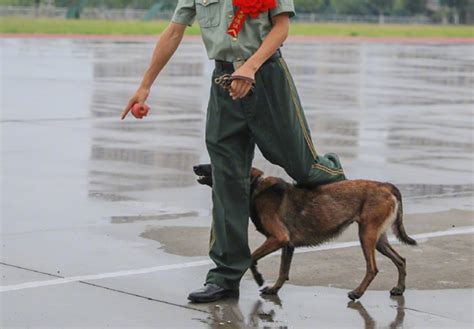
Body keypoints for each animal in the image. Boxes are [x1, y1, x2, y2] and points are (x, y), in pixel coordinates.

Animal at [193, 163, 414, 298]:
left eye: (212, 165)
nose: (195, 166)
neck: (255, 186)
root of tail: (386, 186)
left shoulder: (278, 238)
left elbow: (251, 257)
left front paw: (258, 277)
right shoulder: (287, 244)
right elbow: (283, 271)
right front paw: (273, 289)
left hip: (366, 235)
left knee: (372, 268)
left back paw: (357, 293)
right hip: (378, 239)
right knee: (401, 260)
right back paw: (399, 288)